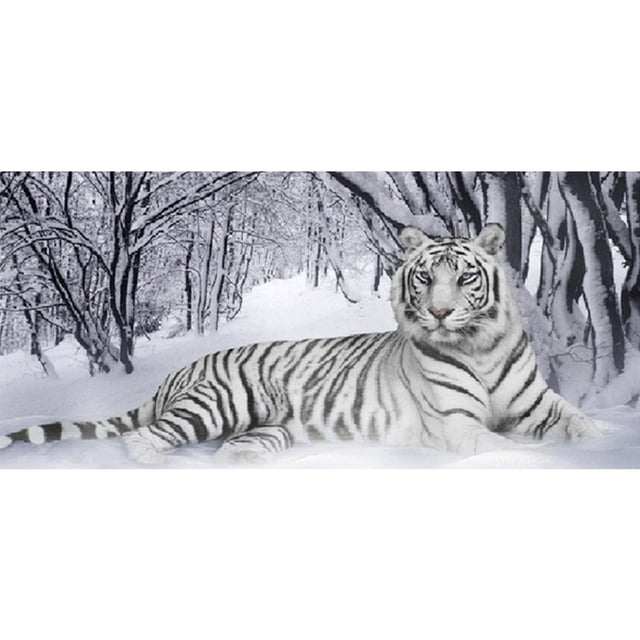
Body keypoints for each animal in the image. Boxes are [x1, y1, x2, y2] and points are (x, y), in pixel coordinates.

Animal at [0, 223, 600, 465]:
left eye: (465, 277)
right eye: (426, 278)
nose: (439, 312)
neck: (479, 346)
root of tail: (180, 371)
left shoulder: (540, 405)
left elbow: (581, 424)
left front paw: (601, 444)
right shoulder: (458, 424)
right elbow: (507, 446)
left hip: (266, 429)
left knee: (230, 450)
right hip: (218, 404)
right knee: (142, 437)